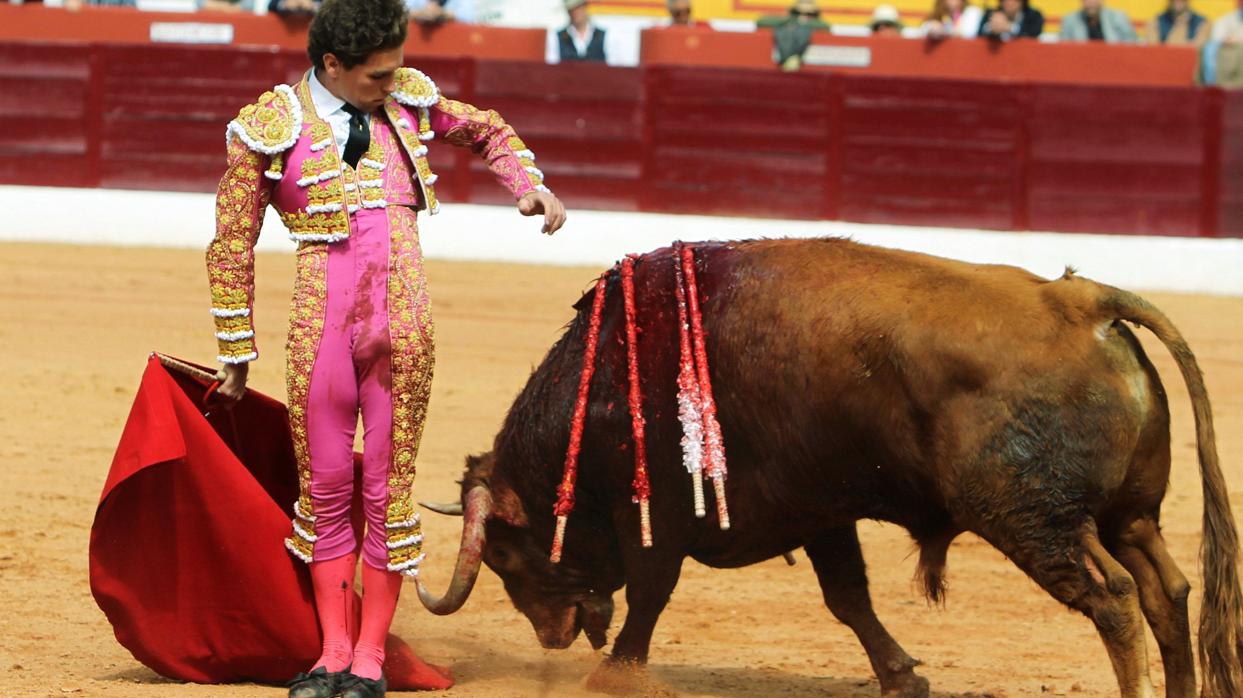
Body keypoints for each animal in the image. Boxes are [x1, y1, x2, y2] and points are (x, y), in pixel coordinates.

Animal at [415, 235, 1233, 690]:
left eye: (506, 557)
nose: (549, 635)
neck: (609, 382)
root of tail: (1081, 302)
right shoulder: (818, 511)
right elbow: (849, 600)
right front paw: (901, 676)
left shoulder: (660, 513)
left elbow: (650, 592)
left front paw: (613, 674)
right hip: (1127, 514)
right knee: (1166, 591)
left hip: (1035, 520)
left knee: (1115, 600)